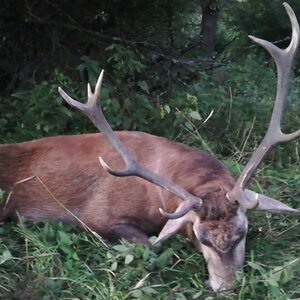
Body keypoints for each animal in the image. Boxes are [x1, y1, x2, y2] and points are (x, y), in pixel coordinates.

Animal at [0, 2, 298, 292]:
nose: (225, 286)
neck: (160, 196)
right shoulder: (97, 217)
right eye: (201, 238)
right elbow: (151, 246)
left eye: (241, 233)